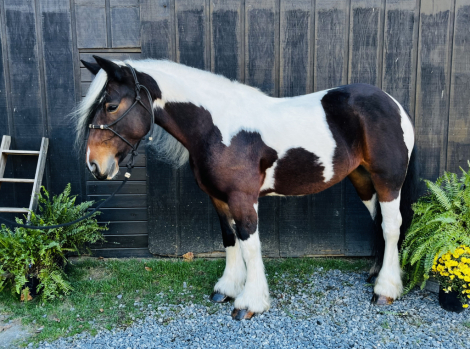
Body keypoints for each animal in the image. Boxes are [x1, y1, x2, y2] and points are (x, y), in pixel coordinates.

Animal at [77, 55, 418, 320]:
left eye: (111, 105)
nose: (94, 165)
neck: (218, 127)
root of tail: (393, 104)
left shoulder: (243, 199)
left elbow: (250, 244)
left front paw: (250, 302)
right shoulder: (218, 198)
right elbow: (230, 239)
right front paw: (227, 288)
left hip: (388, 180)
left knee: (391, 226)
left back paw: (385, 289)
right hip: (362, 180)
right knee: (378, 221)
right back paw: (376, 274)